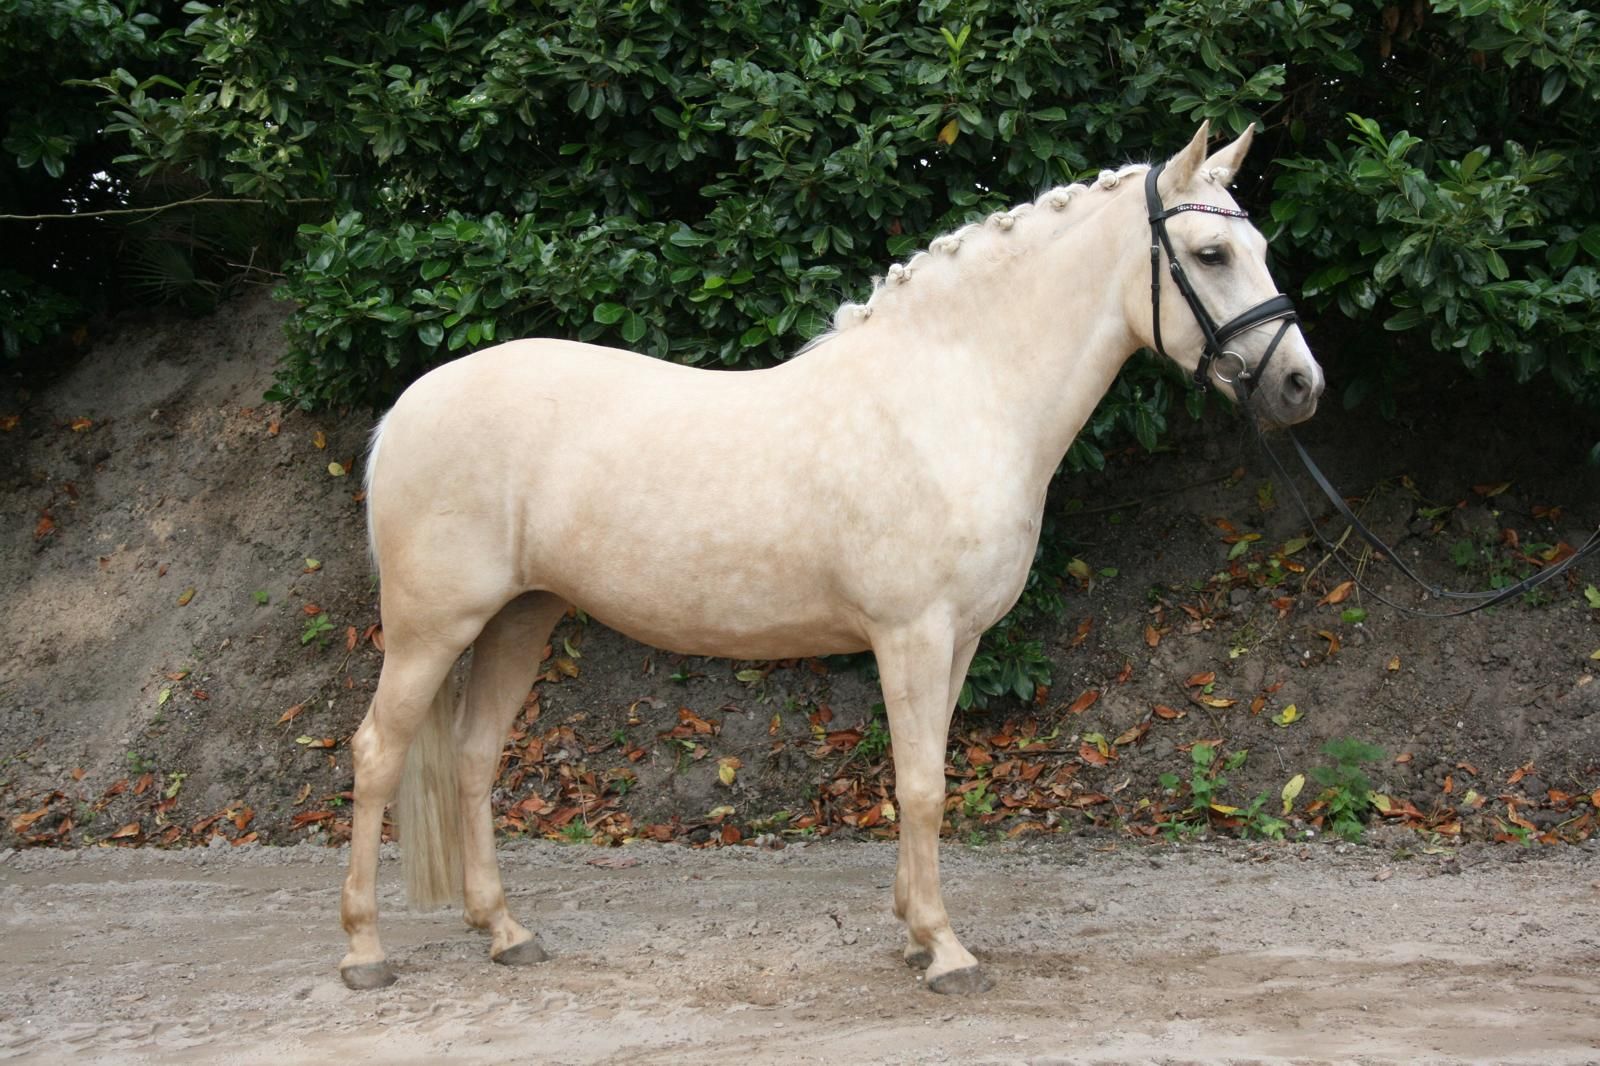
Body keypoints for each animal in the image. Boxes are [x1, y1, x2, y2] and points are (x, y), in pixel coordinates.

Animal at [338, 121, 1325, 995]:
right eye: (1209, 254)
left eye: (1260, 246)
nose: (1299, 386)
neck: (955, 394)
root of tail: (407, 408)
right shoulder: (912, 635)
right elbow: (921, 786)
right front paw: (946, 952)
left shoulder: (959, 641)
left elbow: (927, 774)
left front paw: (912, 932)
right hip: (432, 629)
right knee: (378, 753)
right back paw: (364, 952)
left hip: (517, 619)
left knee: (473, 759)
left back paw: (505, 933)